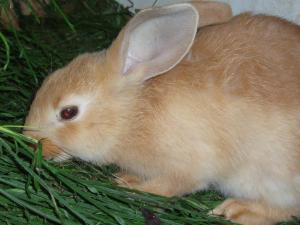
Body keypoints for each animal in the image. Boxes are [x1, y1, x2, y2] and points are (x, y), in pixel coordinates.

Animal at [23, 1, 300, 225]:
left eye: (68, 112)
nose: (29, 139)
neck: (132, 116)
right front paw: (128, 178)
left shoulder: (188, 164)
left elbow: (170, 186)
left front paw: (130, 187)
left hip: (271, 178)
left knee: (283, 209)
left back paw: (237, 211)